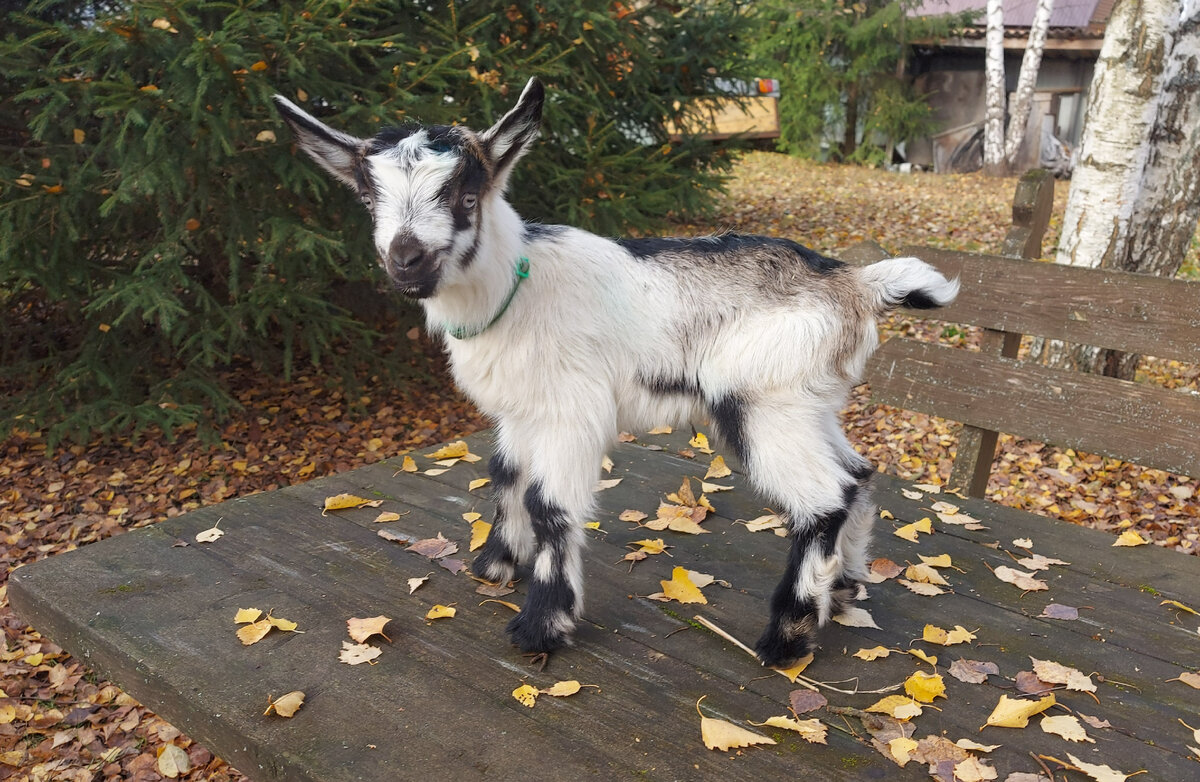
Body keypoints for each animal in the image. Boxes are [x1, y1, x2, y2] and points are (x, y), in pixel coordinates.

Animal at [274, 77, 955, 666]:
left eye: (467, 197)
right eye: (369, 199)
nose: (405, 259)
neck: (516, 286)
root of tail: (857, 284)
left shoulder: (572, 410)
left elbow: (549, 504)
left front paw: (541, 625)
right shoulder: (522, 409)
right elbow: (506, 474)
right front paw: (496, 564)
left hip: (764, 402)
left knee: (823, 499)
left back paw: (786, 638)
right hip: (810, 401)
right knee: (858, 474)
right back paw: (845, 588)